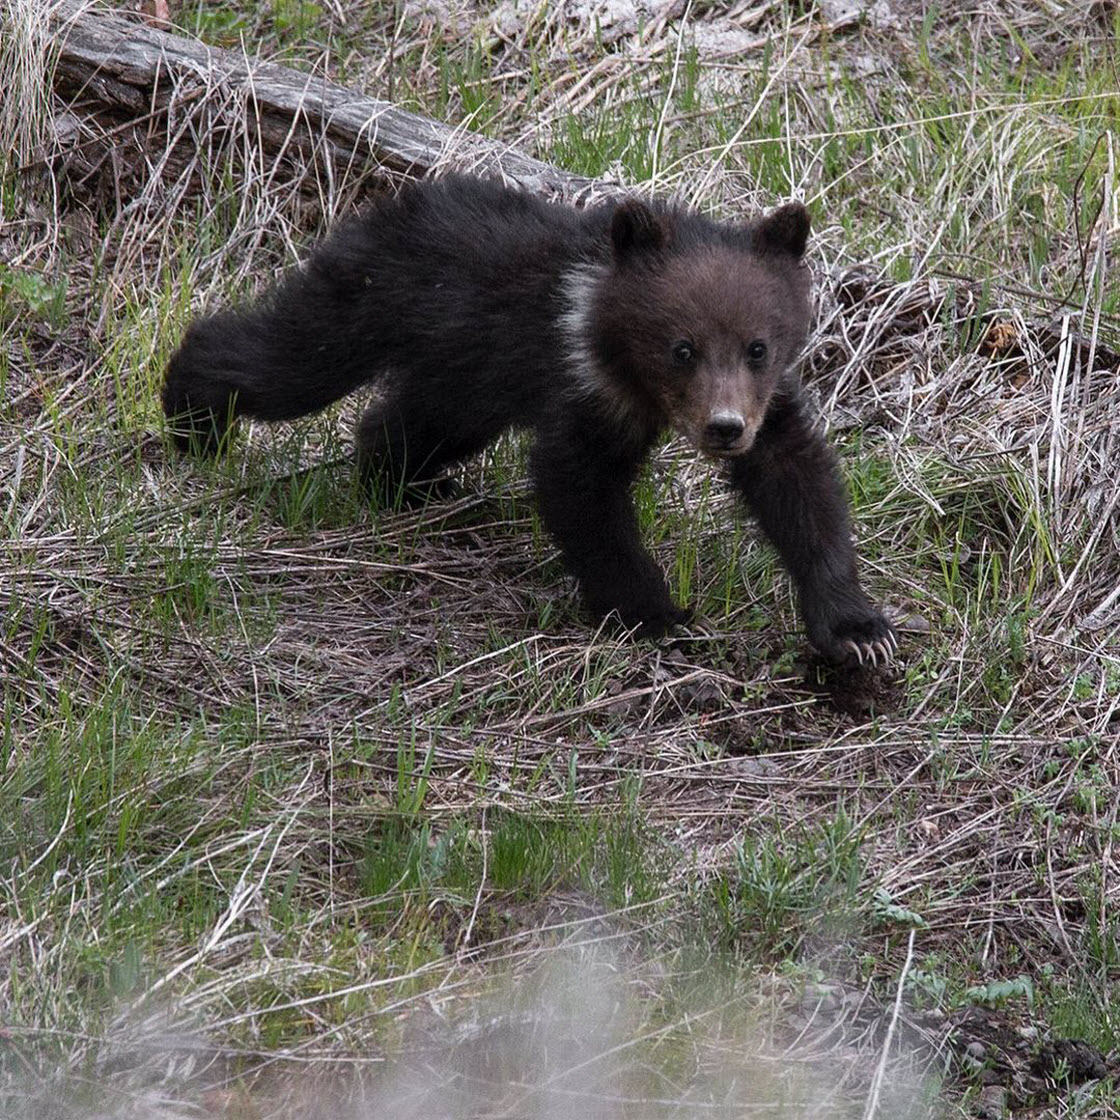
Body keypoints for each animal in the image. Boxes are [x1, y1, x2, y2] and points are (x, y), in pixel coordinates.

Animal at [162, 174, 896, 663]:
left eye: (757, 345)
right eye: (680, 347)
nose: (723, 428)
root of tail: (386, 206)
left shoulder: (768, 405)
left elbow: (799, 484)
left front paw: (859, 632)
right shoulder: (582, 386)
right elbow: (581, 488)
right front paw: (657, 612)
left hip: (463, 369)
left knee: (413, 422)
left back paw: (407, 484)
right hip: (373, 304)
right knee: (287, 361)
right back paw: (192, 416)